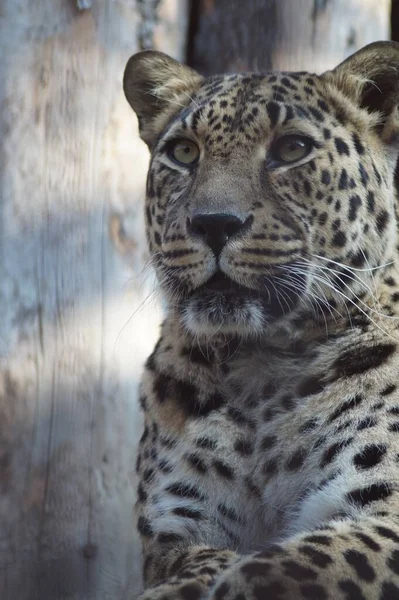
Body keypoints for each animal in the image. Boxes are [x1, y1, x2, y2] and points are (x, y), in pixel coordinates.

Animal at [124, 39, 399, 596]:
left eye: (292, 149)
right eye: (184, 153)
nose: (213, 223)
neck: (261, 366)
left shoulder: (384, 511)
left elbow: (275, 567)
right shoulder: (178, 533)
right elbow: (195, 572)